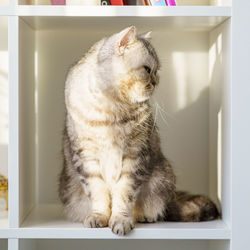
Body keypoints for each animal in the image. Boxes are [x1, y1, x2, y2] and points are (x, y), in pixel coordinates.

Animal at [58, 26, 219, 235]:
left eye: (157, 71)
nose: (157, 81)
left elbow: (124, 196)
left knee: (156, 207)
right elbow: (98, 194)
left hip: (162, 178)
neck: (112, 106)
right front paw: (99, 217)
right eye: (148, 70)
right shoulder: (86, 156)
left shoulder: (135, 155)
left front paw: (121, 220)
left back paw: (144, 216)